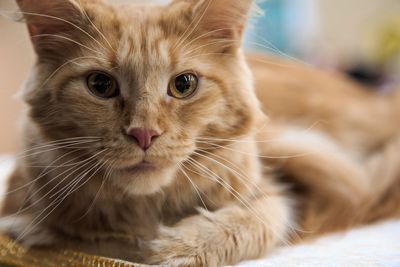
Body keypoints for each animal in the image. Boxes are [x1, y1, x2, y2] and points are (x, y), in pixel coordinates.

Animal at [2, 0, 400, 266]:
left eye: (184, 85)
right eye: (100, 85)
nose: (144, 134)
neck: (148, 209)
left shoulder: (274, 194)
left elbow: (252, 223)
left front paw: (174, 248)